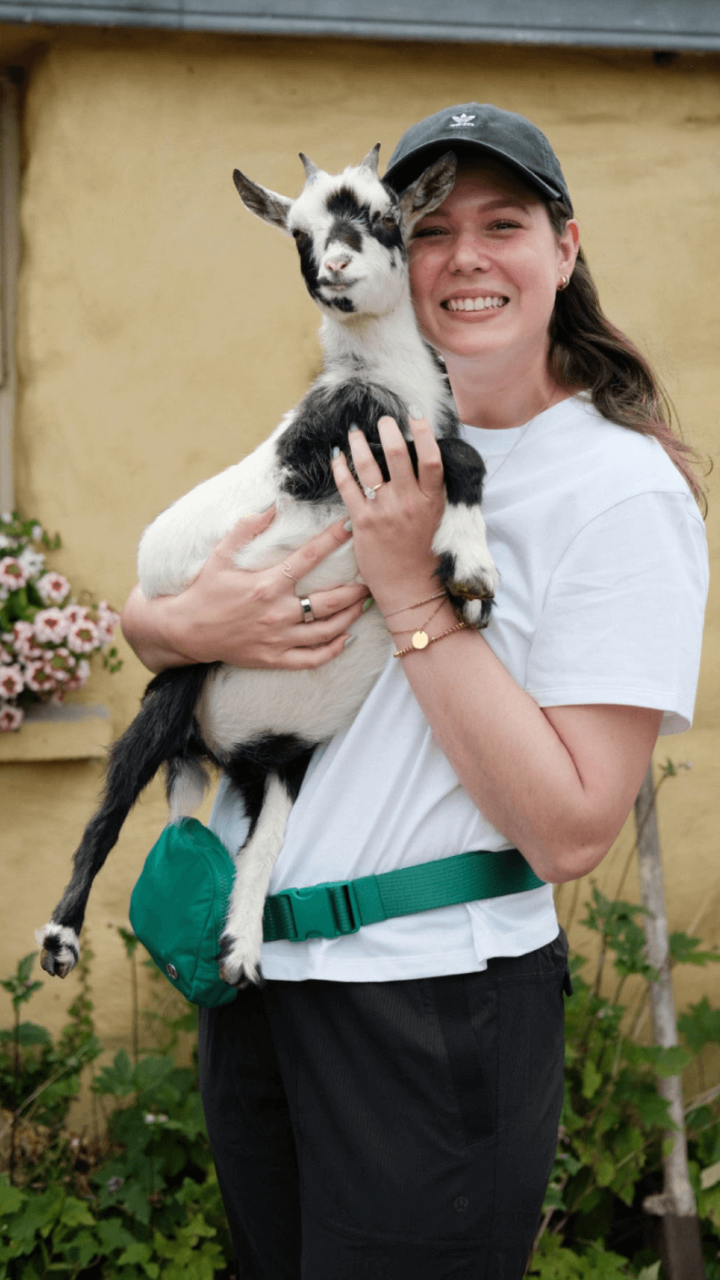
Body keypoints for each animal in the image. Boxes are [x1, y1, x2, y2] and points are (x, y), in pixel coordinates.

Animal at [36, 147, 497, 988]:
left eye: (385, 215)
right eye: (299, 235)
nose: (337, 268)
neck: (387, 380)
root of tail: (213, 749)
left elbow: (460, 455)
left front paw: (466, 568)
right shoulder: (341, 462)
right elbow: (460, 456)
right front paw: (474, 575)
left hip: (279, 760)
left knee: (262, 841)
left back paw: (240, 950)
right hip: (174, 688)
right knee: (110, 808)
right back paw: (61, 938)